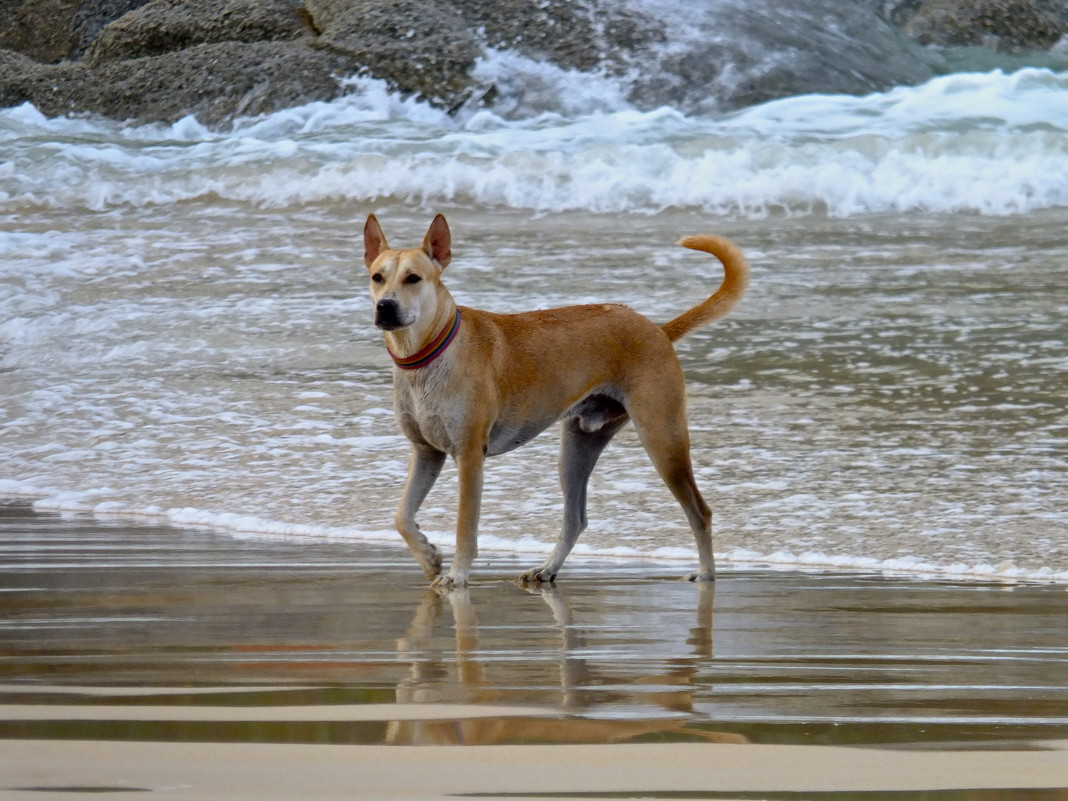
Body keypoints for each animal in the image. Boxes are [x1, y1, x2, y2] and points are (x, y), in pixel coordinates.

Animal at [367, 213, 751, 589]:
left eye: (413, 278)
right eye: (377, 277)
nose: (385, 307)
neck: (430, 354)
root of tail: (657, 330)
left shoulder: (470, 455)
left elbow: (465, 526)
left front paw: (457, 574)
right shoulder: (426, 453)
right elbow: (401, 515)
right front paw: (428, 555)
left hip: (662, 438)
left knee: (700, 511)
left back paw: (706, 573)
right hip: (578, 447)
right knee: (576, 518)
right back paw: (548, 568)